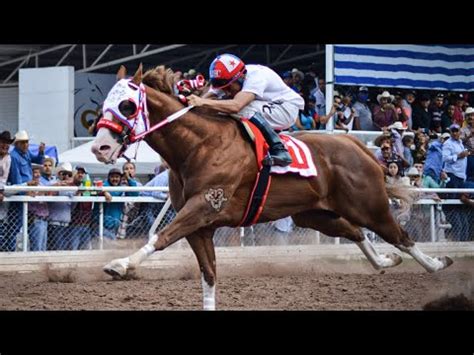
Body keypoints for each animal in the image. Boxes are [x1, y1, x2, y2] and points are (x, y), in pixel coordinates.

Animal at [91, 65, 452, 310]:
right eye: (106, 104)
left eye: (127, 105)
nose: (100, 148)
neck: (198, 145)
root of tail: (356, 146)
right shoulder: (200, 226)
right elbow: (208, 275)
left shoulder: (206, 205)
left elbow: (161, 237)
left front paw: (119, 265)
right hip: (314, 214)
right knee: (355, 232)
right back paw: (386, 262)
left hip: (368, 205)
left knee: (400, 236)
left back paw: (437, 265)